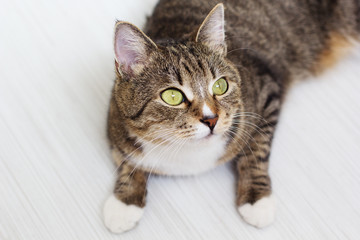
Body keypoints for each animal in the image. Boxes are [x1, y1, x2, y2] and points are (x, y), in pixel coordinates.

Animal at [102, 0, 358, 233]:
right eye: (172, 96)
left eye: (220, 85)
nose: (211, 119)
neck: (187, 155)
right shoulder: (114, 122)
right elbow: (126, 161)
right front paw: (125, 202)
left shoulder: (267, 91)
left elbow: (257, 148)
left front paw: (256, 199)